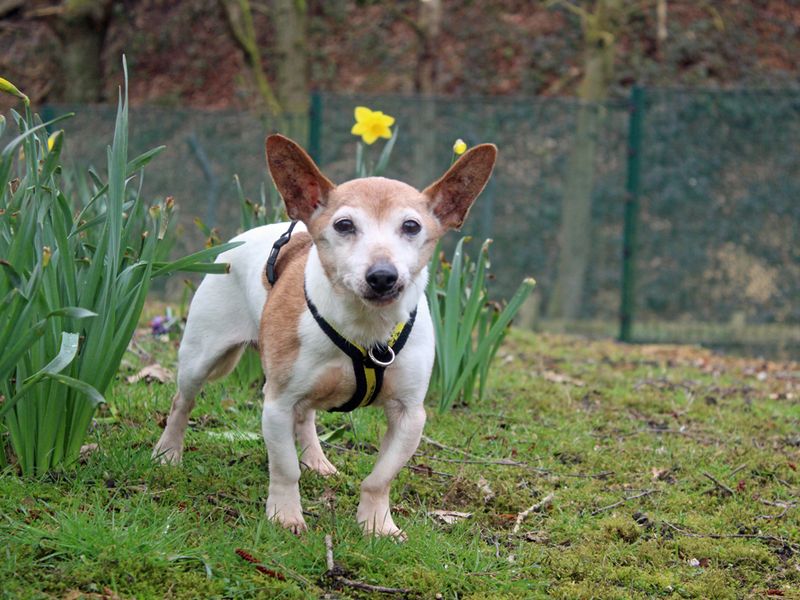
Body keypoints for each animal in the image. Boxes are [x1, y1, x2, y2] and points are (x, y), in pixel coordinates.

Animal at [153, 136, 496, 540]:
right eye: (344, 225)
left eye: (411, 226)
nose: (383, 276)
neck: (366, 328)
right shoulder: (277, 404)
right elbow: (285, 468)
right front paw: (285, 515)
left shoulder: (409, 415)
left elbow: (380, 477)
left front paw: (377, 524)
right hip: (200, 358)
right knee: (183, 401)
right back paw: (168, 453)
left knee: (306, 417)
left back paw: (316, 460)